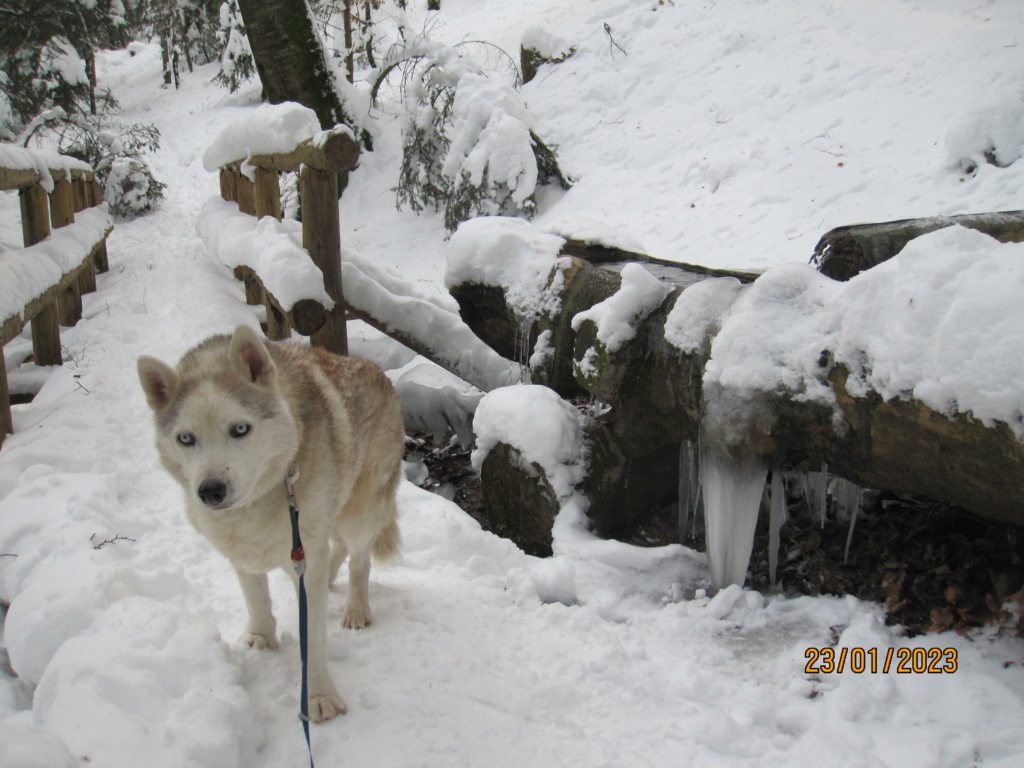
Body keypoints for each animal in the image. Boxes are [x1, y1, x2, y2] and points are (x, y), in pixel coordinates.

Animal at [140, 325, 403, 720]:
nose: (210, 491)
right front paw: (261, 639)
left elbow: (312, 639)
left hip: (359, 512)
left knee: (359, 560)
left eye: (240, 429)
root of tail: (380, 374)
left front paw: (319, 697)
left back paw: (356, 609)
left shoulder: (304, 555)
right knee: (335, 549)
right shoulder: (244, 552)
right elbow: (257, 601)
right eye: (185, 438)